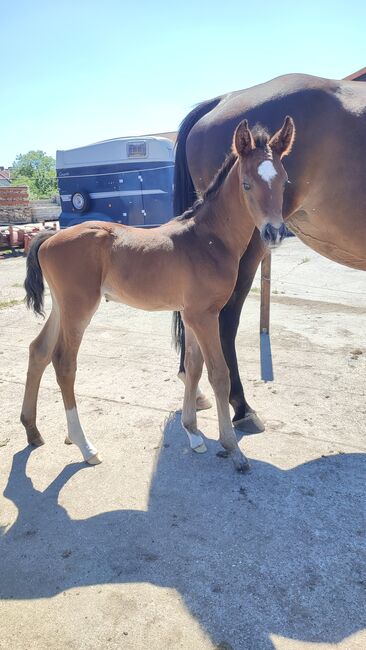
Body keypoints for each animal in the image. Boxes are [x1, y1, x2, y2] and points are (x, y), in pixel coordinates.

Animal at [20, 116, 294, 470]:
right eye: (246, 184)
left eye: (284, 182)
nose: (274, 232)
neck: (208, 239)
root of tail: (49, 237)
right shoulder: (205, 316)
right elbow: (218, 374)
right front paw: (233, 448)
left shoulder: (192, 315)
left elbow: (193, 367)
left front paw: (193, 434)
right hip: (79, 308)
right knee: (64, 362)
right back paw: (85, 446)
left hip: (61, 306)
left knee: (38, 350)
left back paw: (32, 431)